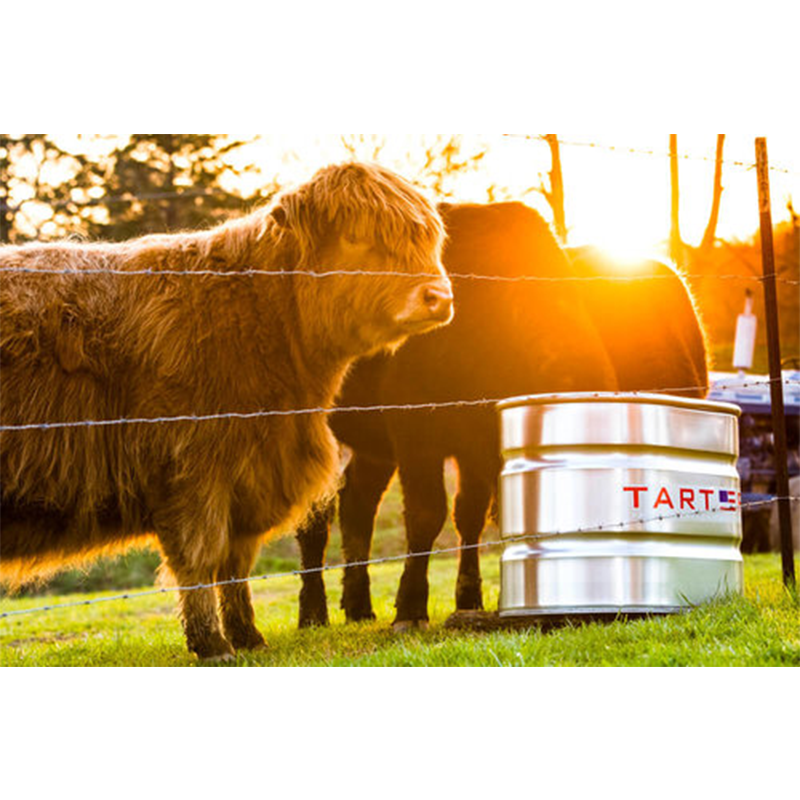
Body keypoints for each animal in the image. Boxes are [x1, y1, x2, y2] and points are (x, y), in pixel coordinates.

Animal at [0, 161, 450, 656]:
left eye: (428, 239)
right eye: (356, 236)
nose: (439, 296)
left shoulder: (249, 475)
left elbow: (236, 562)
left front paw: (248, 635)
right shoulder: (192, 469)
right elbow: (200, 557)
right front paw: (212, 643)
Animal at [296, 203, 708, 628]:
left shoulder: (476, 443)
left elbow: (470, 515)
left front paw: (470, 598)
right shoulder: (416, 429)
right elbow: (428, 513)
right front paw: (411, 607)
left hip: (374, 447)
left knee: (357, 503)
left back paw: (358, 606)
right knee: (314, 517)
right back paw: (312, 612)